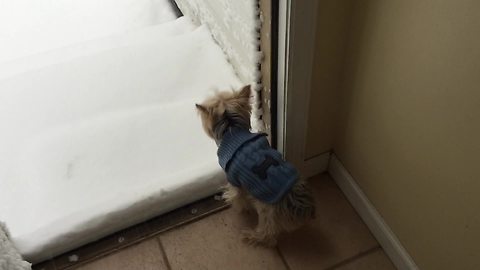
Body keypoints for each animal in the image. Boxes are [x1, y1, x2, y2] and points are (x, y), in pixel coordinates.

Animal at [195, 85, 316, 246]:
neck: (232, 128)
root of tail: (301, 206)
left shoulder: (233, 178)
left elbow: (237, 195)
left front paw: (240, 206)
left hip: (267, 207)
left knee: (268, 233)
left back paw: (252, 236)